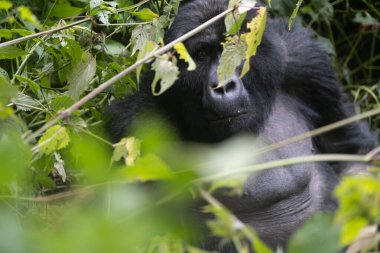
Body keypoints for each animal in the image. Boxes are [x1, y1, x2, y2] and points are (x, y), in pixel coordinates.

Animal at [104, 0, 374, 250]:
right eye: (201, 54)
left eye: (236, 47)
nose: (223, 85)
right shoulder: (136, 123)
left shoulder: (304, 60)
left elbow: (351, 153)